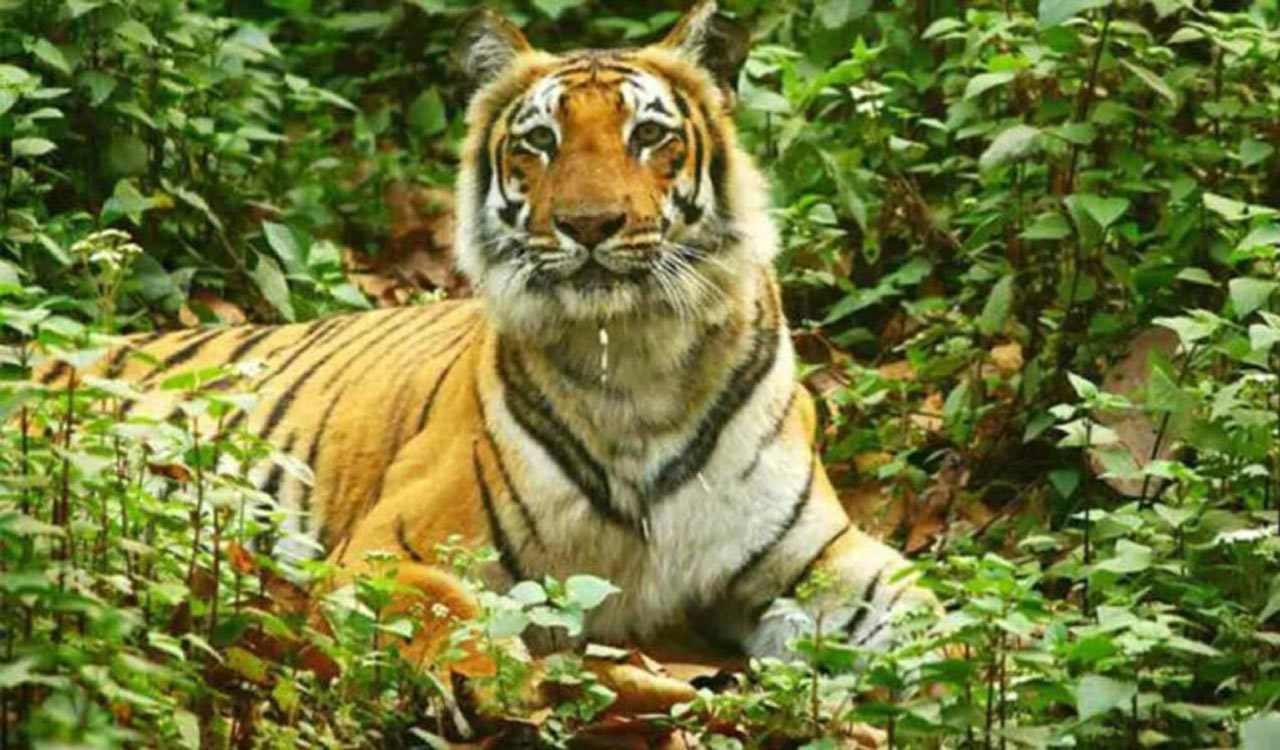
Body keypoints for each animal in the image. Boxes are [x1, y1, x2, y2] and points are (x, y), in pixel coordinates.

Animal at [37, 0, 936, 677]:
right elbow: (447, 614)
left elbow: (940, 618)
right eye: (540, 141)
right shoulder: (393, 546)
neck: (635, 359)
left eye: (648, 135)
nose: (589, 225)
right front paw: (495, 689)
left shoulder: (817, 558)